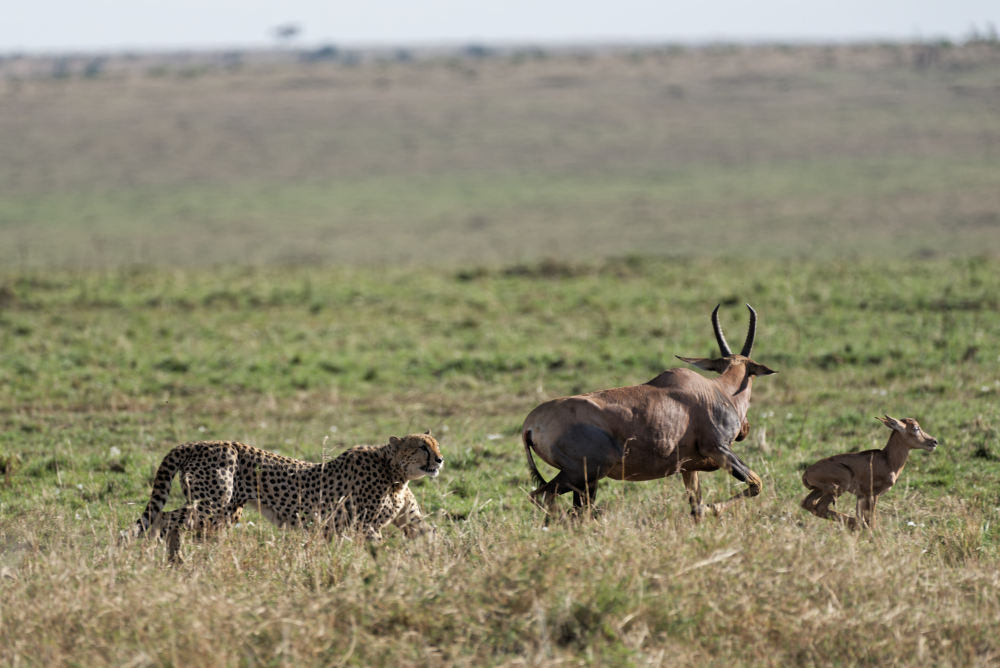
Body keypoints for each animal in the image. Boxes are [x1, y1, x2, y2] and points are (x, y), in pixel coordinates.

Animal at [120, 430, 442, 560]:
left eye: (436, 444)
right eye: (422, 447)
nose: (440, 460)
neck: (395, 472)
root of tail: (197, 443)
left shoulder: (410, 520)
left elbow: (431, 537)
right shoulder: (366, 525)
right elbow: (378, 550)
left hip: (225, 512)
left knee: (175, 523)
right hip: (211, 505)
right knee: (165, 519)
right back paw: (175, 560)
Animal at [520, 302, 776, 516]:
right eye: (752, 375)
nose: (745, 429)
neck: (714, 390)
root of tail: (530, 425)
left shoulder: (688, 466)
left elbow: (696, 507)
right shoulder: (718, 449)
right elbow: (756, 483)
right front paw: (714, 508)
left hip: (584, 481)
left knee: (574, 509)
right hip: (583, 474)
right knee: (542, 497)